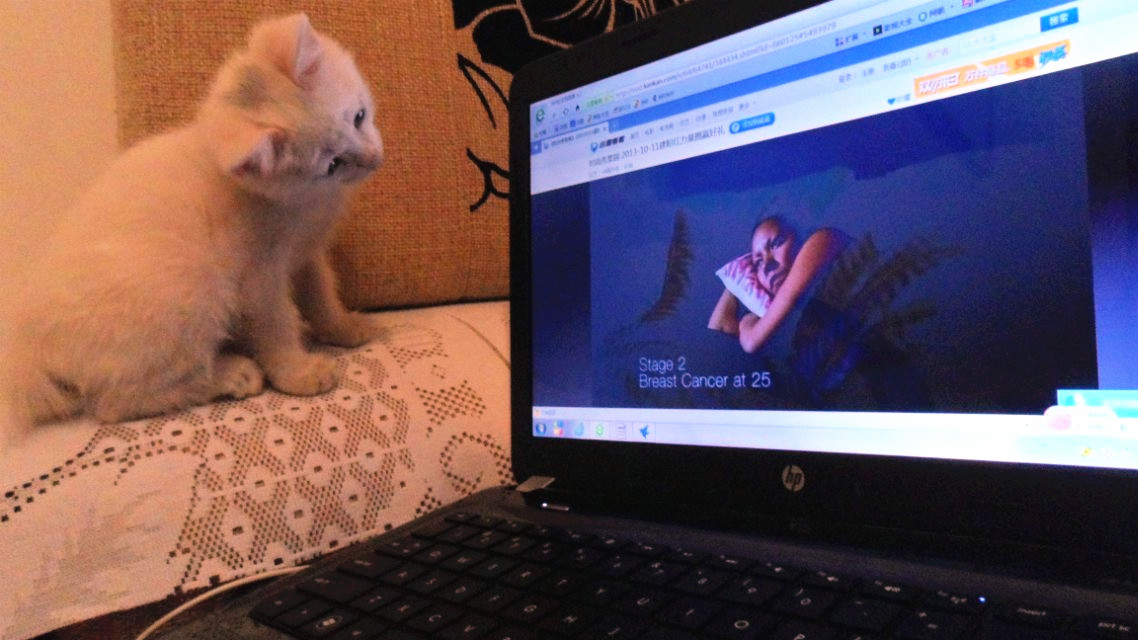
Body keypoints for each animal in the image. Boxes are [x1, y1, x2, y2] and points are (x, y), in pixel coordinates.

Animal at [0, 13, 384, 447]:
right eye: (332, 165)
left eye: (358, 117)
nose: (374, 158)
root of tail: (28, 345)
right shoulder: (258, 276)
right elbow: (276, 323)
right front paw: (298, 372)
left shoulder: (306, 252)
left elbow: (320, 294)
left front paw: (344, 327)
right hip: (194, 288)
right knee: (111, 404)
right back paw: (232, 374)